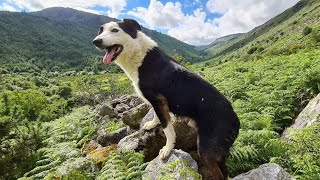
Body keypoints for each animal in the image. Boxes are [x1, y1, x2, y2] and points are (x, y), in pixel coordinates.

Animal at [94, 19, 239, 179]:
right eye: (100, 31)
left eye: (115, 30)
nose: (96, 41)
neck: (139, 54)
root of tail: (234, 118)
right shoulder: (157, 103)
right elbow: (156, 116)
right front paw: (152, 124)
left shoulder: (159, 101)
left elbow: (167, 129)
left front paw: (167, 149)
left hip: (207, 150)